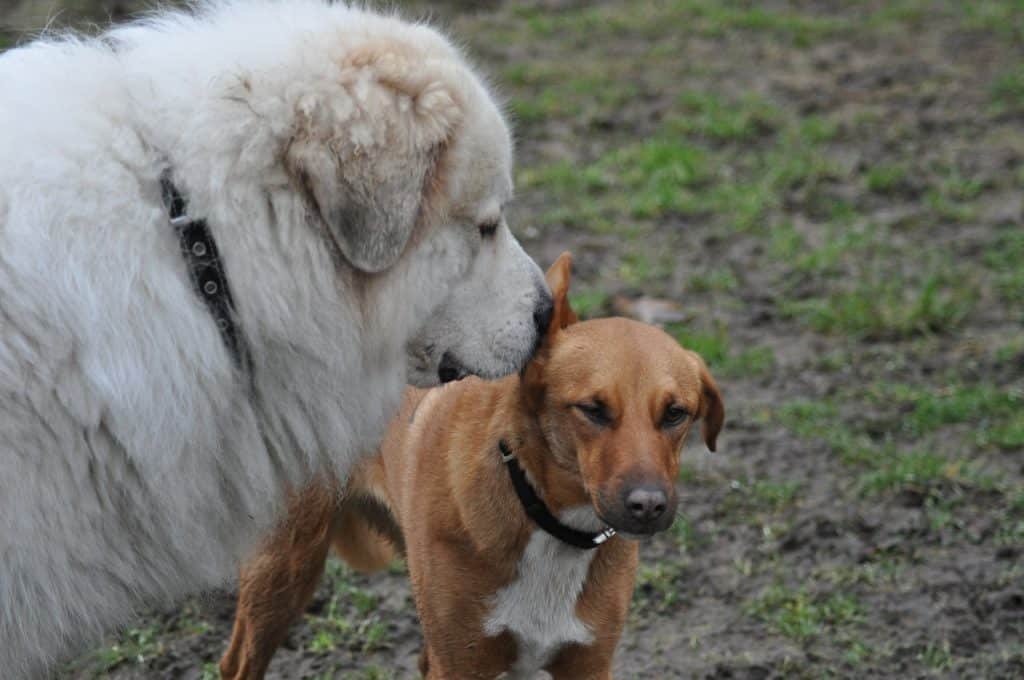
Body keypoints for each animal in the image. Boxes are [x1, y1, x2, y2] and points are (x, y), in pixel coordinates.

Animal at [220, 255, 724, 680]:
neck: (548, 522)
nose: (648, 505)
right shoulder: (462, 661)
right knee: (237, 662)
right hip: (284, 566)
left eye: (676, 414)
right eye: (593, 410)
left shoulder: (587, 662)